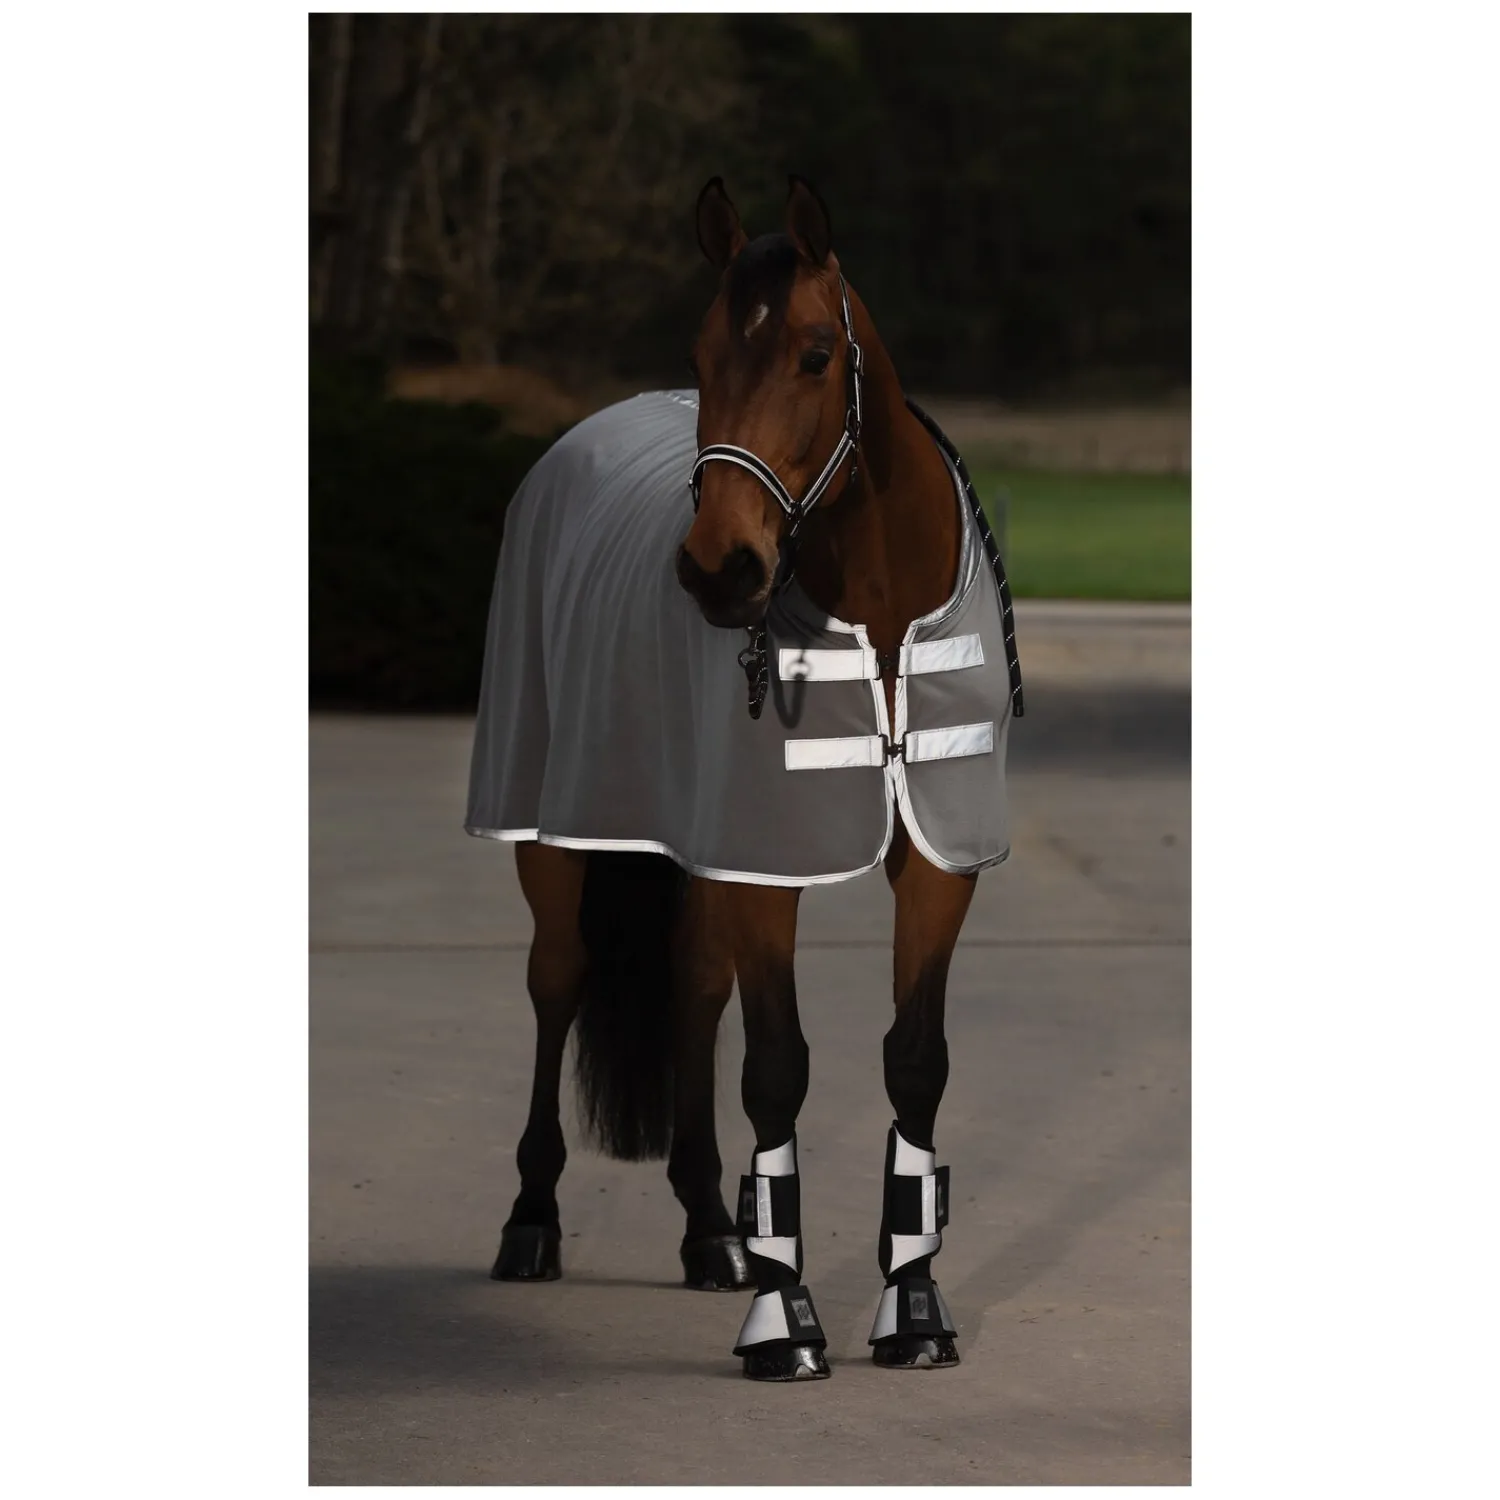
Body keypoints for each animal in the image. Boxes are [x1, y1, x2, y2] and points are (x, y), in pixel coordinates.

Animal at [465, 176, 1023, 1381]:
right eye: (703, 349)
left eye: (816, 353)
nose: (722, 569)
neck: (880, 619)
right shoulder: (765, 861)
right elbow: (776, 1068)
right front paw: (785, 1323)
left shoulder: (937, 864)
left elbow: (915, 1062)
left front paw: (914, 1312)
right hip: (553, 834)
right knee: (557, 980)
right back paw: (532, 1222)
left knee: (689, 987)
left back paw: (710, 1231)